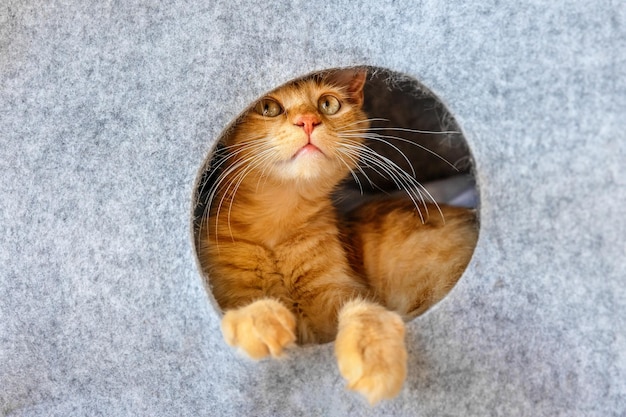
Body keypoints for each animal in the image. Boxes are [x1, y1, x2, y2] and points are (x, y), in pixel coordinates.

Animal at [196, 68, 478, 404]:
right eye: (268, 108)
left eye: (328, 104)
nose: (307, 121)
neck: (277, 227)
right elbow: (243, 306)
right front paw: (259, 320)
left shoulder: (339, 292)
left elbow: (364, 309)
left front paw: (374, 355)